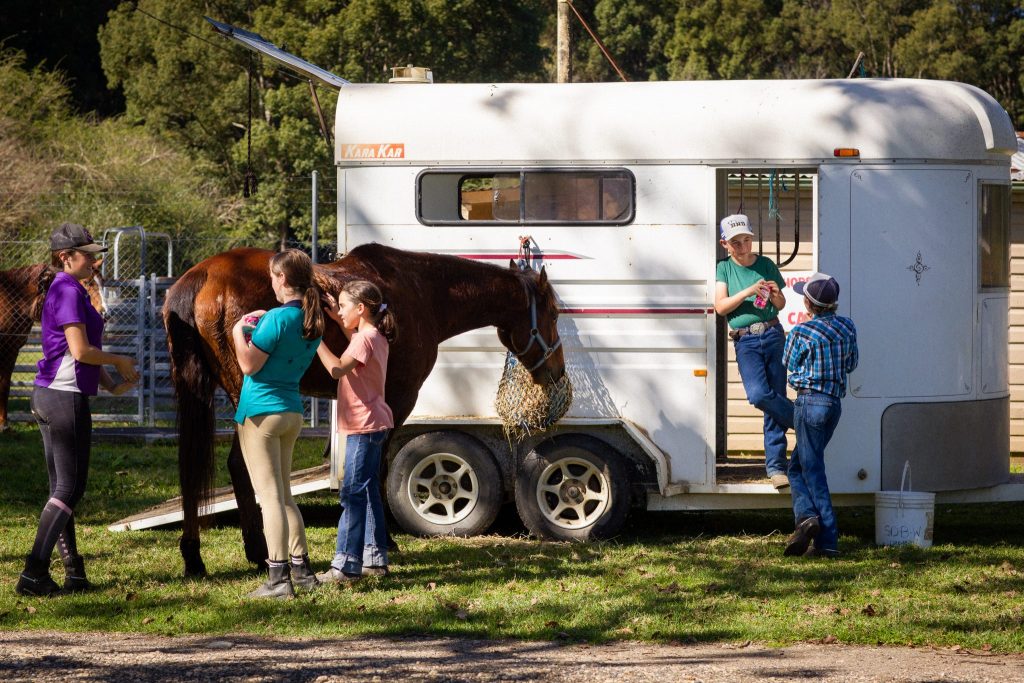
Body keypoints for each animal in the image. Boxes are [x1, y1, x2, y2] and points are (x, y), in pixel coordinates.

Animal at [0, 264, 104, 432]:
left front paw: (4, 425)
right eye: (87, 282)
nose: (104, 312)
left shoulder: (12, 350)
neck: (10, 298)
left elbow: (4, 385)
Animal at [162, 244, 565, 577]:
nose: (557, 371)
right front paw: (384, 542)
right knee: (239, 465)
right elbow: (378, 468)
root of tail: (200, 277)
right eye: (554, 312)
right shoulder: (398, 400)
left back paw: (195, 557)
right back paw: (258, 552)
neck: (423, 293)